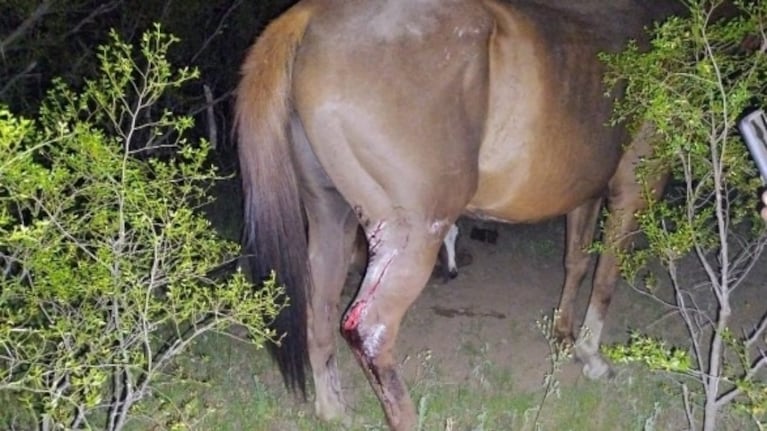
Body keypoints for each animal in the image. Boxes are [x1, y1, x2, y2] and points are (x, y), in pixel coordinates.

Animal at [237, 1, 668, 430]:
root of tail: (312, 14)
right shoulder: (635, 184)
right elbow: (607, 274)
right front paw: (591, 354)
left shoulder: (585, 193)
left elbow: (576, 262)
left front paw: (565, 337)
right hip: (410, 237)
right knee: (370, 330)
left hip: (331, 219)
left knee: (321, 308)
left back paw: (333, 410)